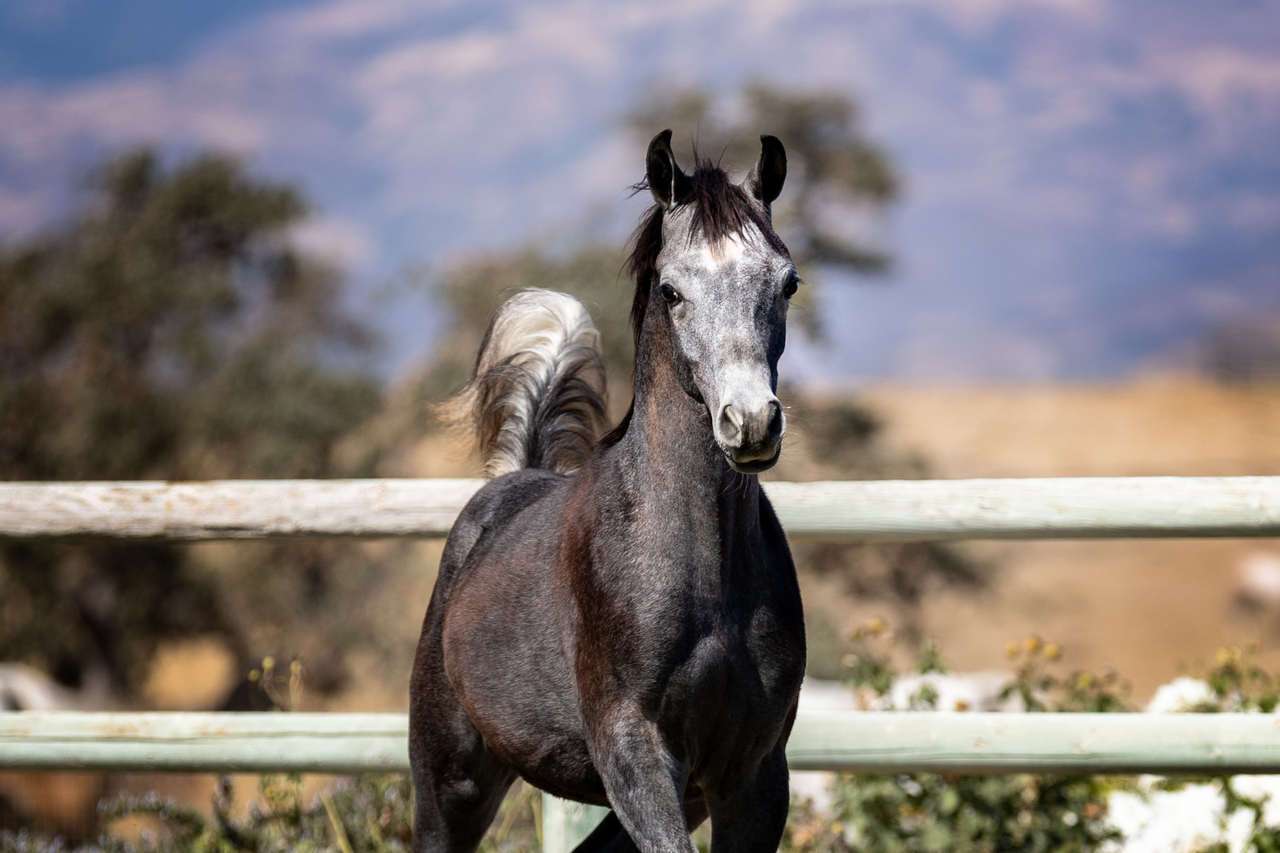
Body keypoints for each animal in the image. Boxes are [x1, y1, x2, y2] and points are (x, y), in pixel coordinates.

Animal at [409, 129, 806, 853]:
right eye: (673, 290)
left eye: (786, 281)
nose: (751, 422)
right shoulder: (634, 751)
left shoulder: (753, 775)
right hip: (451, 784)